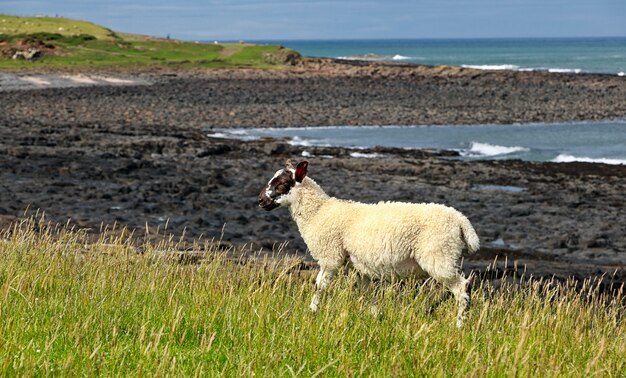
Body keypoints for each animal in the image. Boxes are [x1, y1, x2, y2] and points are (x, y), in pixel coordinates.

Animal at [255, 158, 478, 326]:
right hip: (445, 256)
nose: (260, 201)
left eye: (281, 184)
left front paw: (312, 313)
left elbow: (319, 287)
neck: (318, 212)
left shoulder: (330, 257)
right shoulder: (360, 268)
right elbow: (368, 295)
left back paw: (459, 325)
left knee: (462, 290)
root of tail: (461, 221)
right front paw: (374, 317)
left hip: (439, 254)